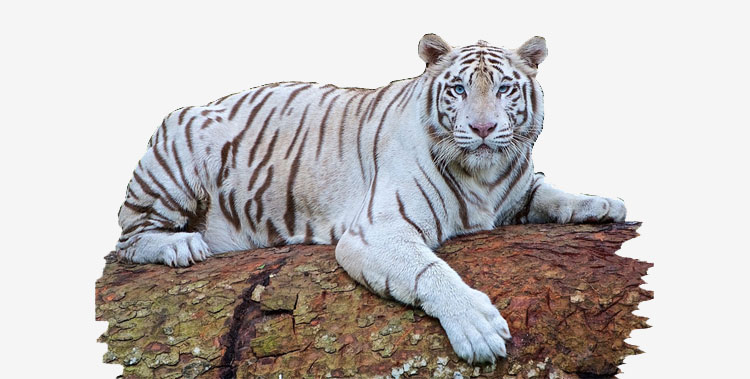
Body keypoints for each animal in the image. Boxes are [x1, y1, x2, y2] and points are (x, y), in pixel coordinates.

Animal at [114, 34, 624, 364]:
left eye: (504, 88)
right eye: (459, 88)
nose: (482, 128)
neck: (485, 176)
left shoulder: (517, 191)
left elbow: (551, 192)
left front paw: (602, 204)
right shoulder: (379, 230)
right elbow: (430, 271)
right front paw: (478, 328)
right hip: (178, 162)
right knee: (128, 239)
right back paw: (181, 245)